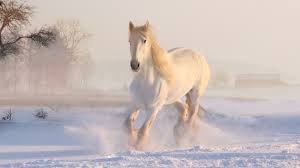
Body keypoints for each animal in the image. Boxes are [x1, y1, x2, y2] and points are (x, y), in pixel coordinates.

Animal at [123, 21, 209, 150]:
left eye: (144, 40)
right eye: (129, 41)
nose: (135, 65)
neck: (146, 82)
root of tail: (199, 55)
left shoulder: (154, 109)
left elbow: (143, 131)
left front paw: (138, 147)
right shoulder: (136, 104)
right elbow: (127, 124)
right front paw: (132, 139)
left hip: (195, 95)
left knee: (191, 117)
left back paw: (184, 138)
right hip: (174, 98)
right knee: (184, 108)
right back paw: (178, 133)